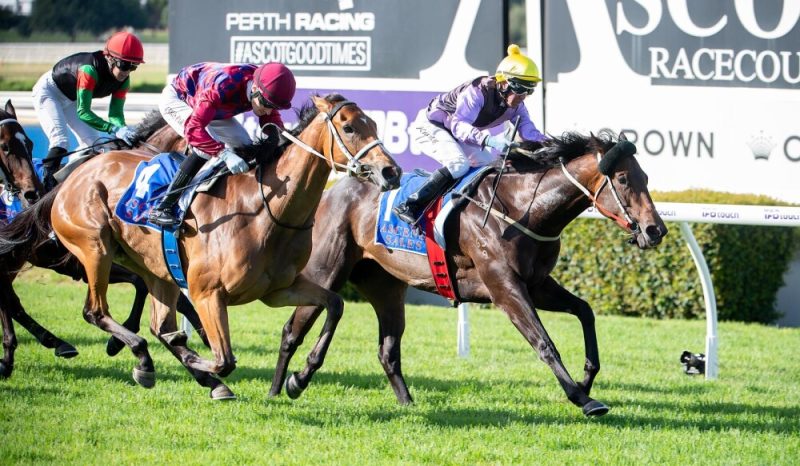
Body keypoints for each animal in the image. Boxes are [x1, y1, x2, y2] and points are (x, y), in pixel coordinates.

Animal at [48, 94, 402, 399]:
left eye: (373, 124)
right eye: (349, 127)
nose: (391, 171)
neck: (265, 210)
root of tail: (81, 170)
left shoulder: (278, 290)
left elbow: (335, 304)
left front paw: (299, 379)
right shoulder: (208, 294)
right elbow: (224, 359)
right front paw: (199, 358)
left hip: (156, 270)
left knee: (159, 326)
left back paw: (171, 368)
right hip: (95, 247)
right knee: (96, 311)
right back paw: (146, 357)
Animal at [267, 131, 667, 417]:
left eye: (646, 176)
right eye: (622, 178)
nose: (655, 230)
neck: (524, 209)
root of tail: (334, 190)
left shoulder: (537, 284)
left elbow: (585, 311)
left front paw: (586, 379)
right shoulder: (505, 288)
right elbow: (544, 343)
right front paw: (583, 399)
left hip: (386, 286)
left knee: (387, 350)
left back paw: (407, 403)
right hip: (327, 270)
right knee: (292, 330)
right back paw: (283, 386)